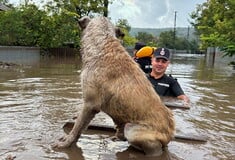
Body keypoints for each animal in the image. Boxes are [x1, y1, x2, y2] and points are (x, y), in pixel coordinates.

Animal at [53, 15, 174, 155]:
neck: (102, 45)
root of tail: (170, 134)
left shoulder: (90, 104)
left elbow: (77, 127)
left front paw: (65, 143)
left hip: (132, 129)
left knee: (154, 147)